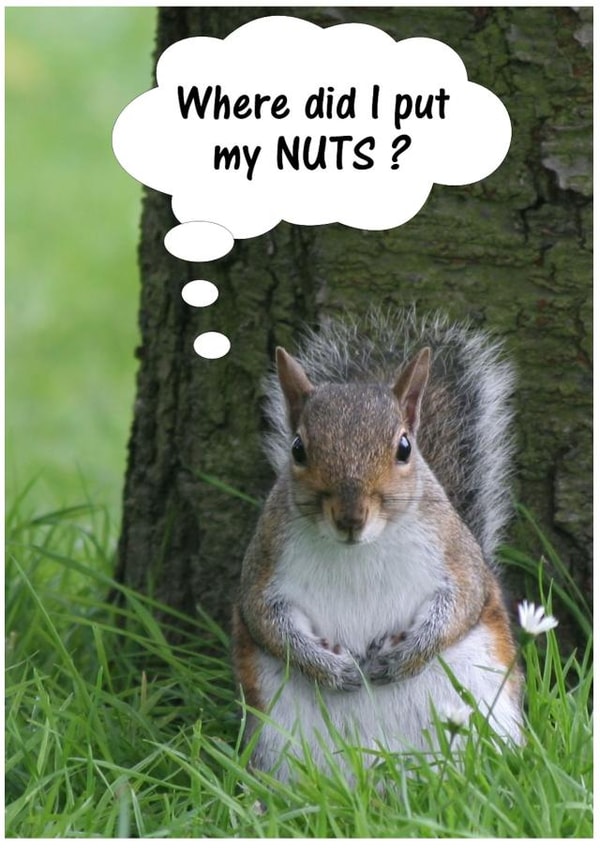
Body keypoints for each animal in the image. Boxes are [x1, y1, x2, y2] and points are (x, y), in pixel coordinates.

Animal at [232, 310, 523, 781]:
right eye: (298, 449)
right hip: (281, 742)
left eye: (405, 447)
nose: (351, 517)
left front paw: (404, 656)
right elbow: (266, 620)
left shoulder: (457, 557)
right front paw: (331, 669)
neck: (361, 549)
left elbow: (462, 603)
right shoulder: (264, 563)